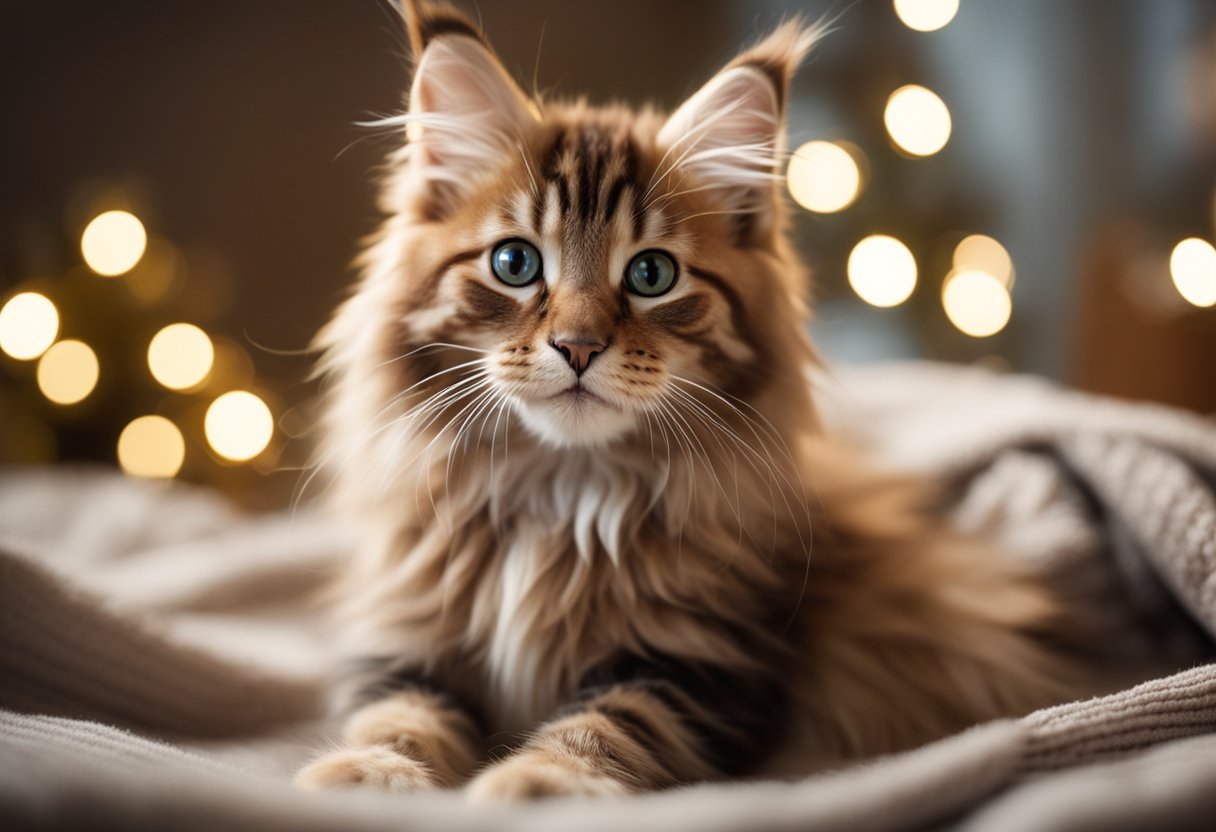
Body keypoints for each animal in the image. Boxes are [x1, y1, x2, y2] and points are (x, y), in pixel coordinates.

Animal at [291, 1, 1084, 797]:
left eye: (651, 275)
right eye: (514, 263)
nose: (578, 347)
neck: (558, 498)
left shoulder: (702, 667)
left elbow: (605, 727)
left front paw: (537, 785)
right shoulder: (404, 637)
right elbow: (395, 716)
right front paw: (365, 775)